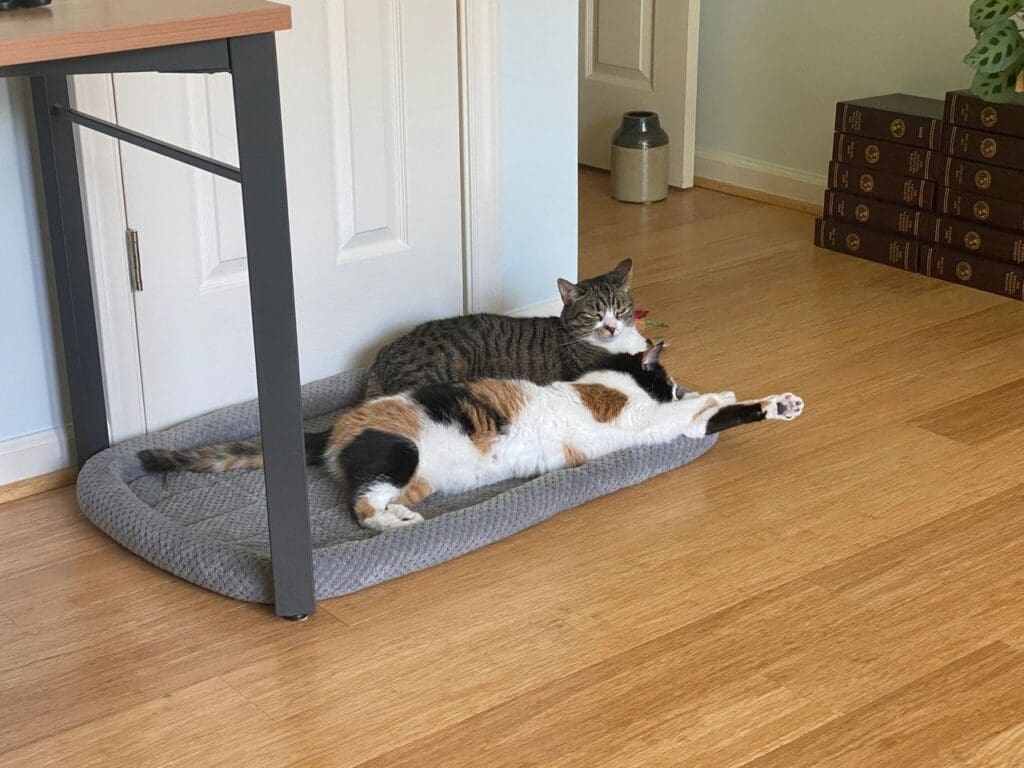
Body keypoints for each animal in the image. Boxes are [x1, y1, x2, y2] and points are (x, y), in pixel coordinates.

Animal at [138, 346, 806, 532]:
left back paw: (404, 516)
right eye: (664, 375)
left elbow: (718, 414)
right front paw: (716, 393)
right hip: (399, 450)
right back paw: (395, 527)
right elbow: (702, 410)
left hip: (418, 476)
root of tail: (332, 425)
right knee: (359, 507)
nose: (673, 382)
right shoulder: (641, 422)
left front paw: (781, 404)